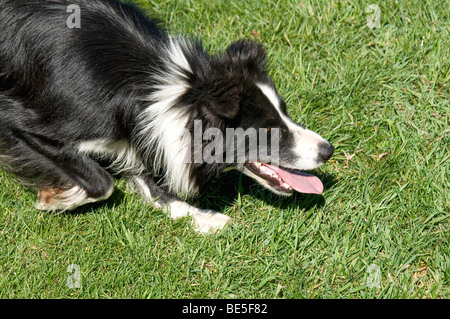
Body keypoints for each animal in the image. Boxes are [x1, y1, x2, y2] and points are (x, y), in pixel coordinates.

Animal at [0, 0, 332, 232]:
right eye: (267, 130)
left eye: (285, 112)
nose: (328, 150)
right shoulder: (21, 120)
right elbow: (102, 183)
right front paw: (53, 199)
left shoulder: (140, 134)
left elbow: (145, 175)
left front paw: (203, 218)